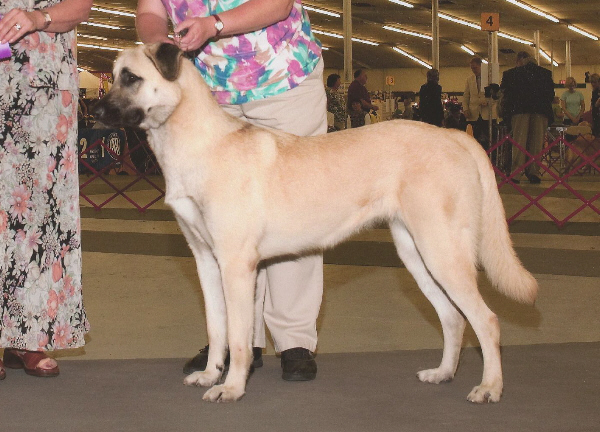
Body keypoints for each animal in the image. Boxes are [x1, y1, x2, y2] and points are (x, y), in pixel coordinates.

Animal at [93, 43, 538, 403]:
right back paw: (443, 373)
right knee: (453, 318)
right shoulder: (206, 261)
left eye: (131, 77)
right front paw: (208, 374)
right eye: (113, 74)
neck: (198, 142)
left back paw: (489, 388)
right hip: (416, 253)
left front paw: (231, 388)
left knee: (487, 321)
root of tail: (455, 136)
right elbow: (217, 329)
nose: (94, 110)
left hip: (442, 251)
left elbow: (238, 337)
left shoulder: (236, 265)